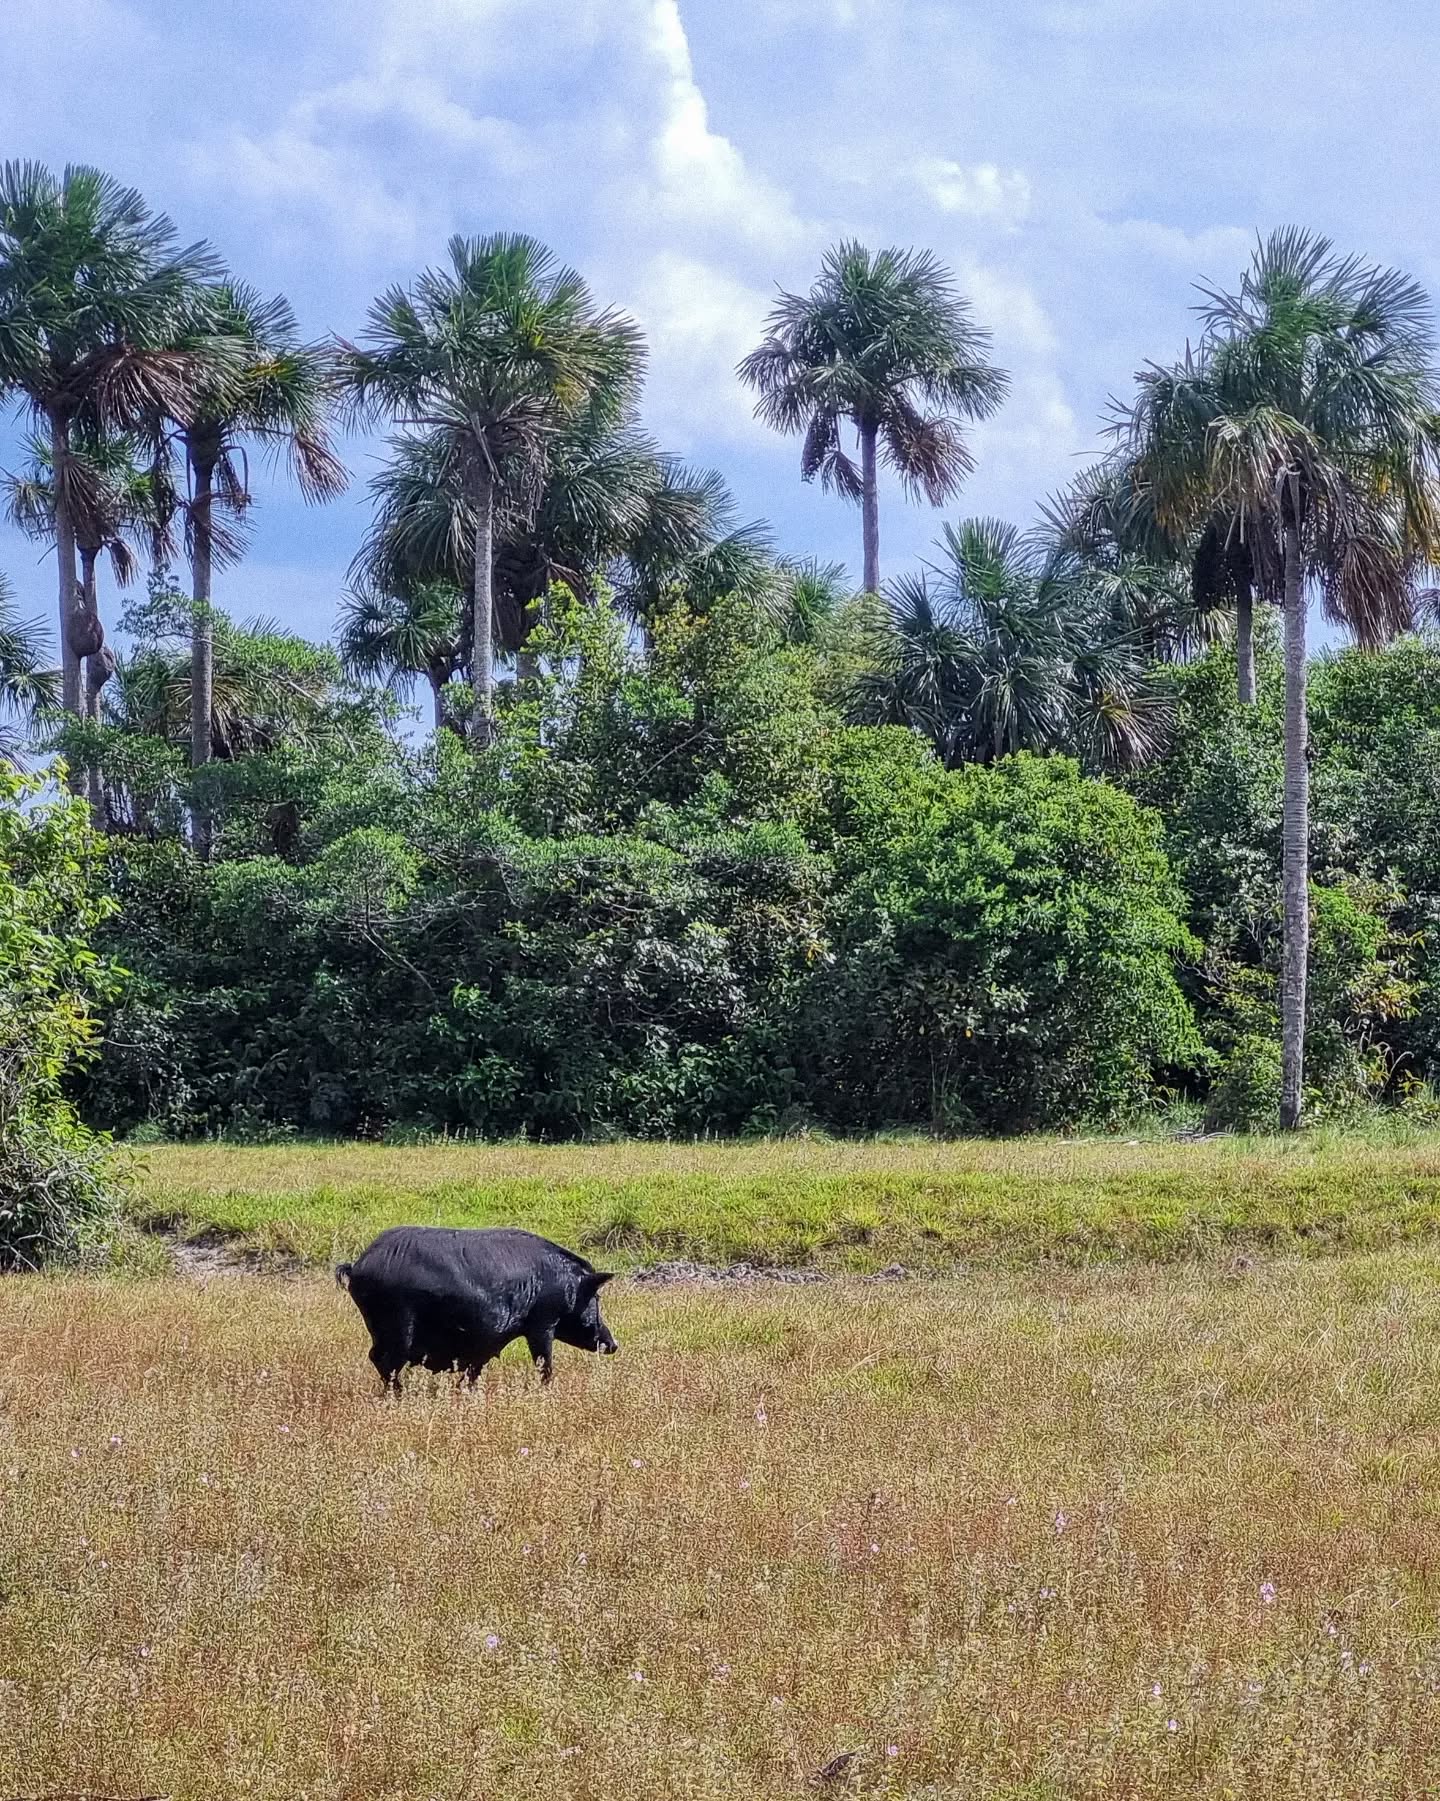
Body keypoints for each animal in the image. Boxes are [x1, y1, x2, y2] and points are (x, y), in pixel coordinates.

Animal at [335, 1225, 618, 1392]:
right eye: (596, 1298)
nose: (614, 1344)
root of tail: (357, 1266)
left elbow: (476, 1366)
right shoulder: (543, 1322)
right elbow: (543, 1361)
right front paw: (547, 1388)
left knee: (375, 1357)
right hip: (397, 1324)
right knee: (386, 1361)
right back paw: (399, 1395)